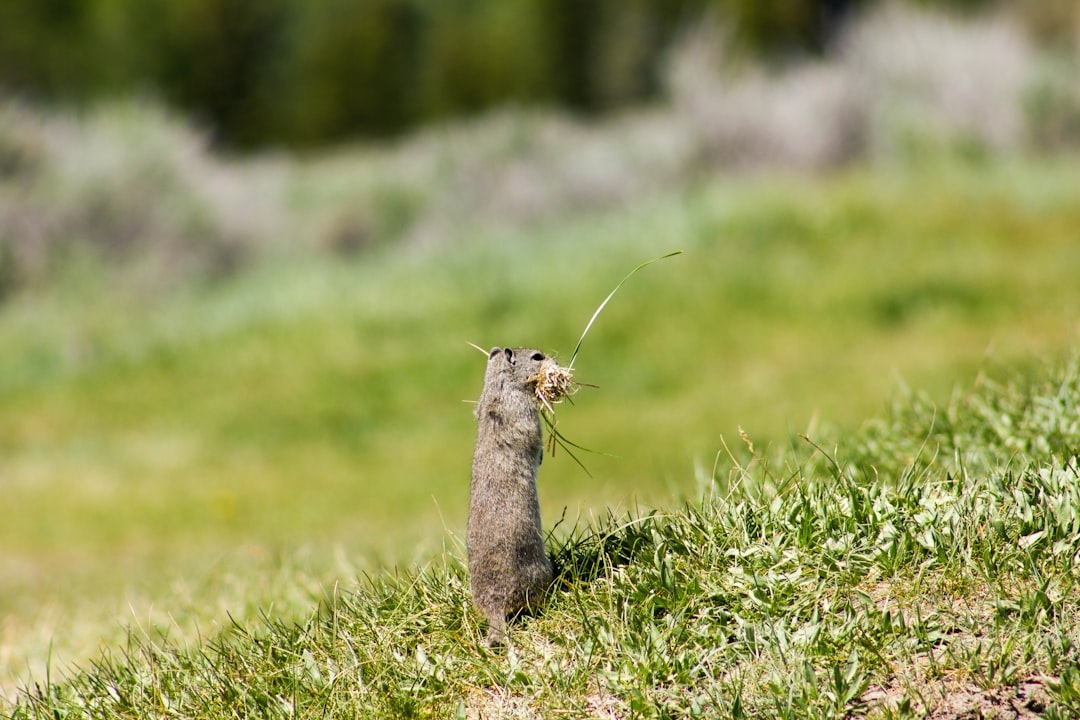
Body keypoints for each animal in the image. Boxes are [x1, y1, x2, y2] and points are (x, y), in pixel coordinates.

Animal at [468, 345, 557, 643]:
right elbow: (534, 437)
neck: (498, 382)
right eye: (538, 357)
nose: (553, 360)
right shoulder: (526, 411)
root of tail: (495, 607)